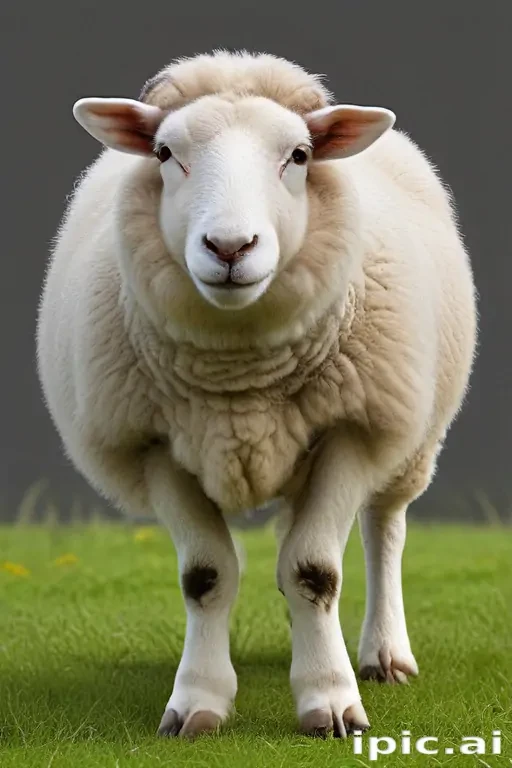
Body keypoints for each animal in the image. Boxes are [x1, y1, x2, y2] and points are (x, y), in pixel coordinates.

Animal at [36, 49, 477, 739]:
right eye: (164, 152)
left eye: (299, 155)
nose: (229, 247)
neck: (238, 374)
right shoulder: (153, 444)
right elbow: (206, 576)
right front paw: (198, 702)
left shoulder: (350, 431)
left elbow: (315, 570)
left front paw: (330, 701)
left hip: (410, 434)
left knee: (384, 529)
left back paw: (384, 653)